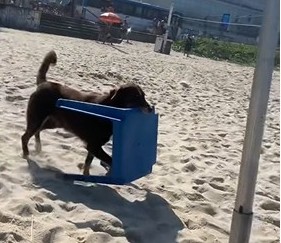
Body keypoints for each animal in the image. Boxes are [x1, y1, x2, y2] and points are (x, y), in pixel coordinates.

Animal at [21, 50, 153, 175]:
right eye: (136, 97)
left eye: (144, 96)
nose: (151, 109)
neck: (109, 108)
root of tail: (43, 83)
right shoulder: (93, 145)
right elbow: (110, 161)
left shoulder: (94, 147)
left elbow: (88, 162)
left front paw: (87, 175)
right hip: (37, 119)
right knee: (25, 136)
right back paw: (26, 154)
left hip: (52, 123)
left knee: (36, 132)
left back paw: (38, 148)